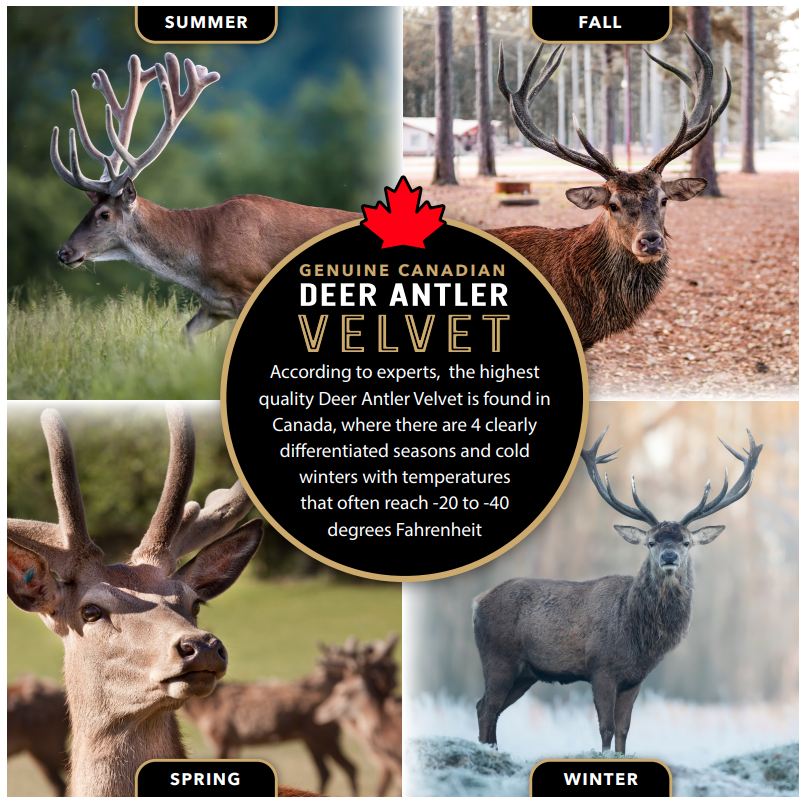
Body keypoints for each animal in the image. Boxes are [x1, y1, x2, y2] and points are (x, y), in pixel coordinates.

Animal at [51, 53, 361, 342]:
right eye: (88, 211)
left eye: (104, 214)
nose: (63, 252)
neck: (200, 260)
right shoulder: (214, 307)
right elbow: (185, 334)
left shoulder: (247, 288)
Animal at [183, 640, 360, 795]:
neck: (203, 712)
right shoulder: (234, 742)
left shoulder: (222, 738)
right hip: (312, 740)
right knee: (326, 772)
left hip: (325, 736)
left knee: (349, 767)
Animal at [473, 427, 762, 754]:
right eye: (651, 542)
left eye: (687, 542)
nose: (669, 556)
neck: (637, 636)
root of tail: (477, 603)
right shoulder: (601, 667)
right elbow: (606, 727)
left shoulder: (635, 679)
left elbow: (624, 729)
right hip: (498, 656)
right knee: (486, 708)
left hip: (526, 673)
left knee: (489, 708)